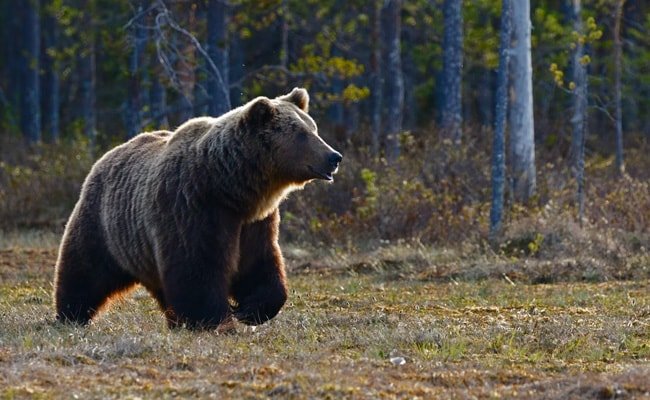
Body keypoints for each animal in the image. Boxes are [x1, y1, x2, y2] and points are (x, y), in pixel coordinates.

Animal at [53, 89, 342, 330]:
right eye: (301, 134)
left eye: (313, 128)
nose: (334, 156)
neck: (231, 187)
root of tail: (107, 155)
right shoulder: (193, 207)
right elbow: (197, 267)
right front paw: (214, 320)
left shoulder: (254, 222)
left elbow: (259, 264)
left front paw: (250, 310)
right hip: (104, 224)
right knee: (84, 269)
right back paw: (71, 314)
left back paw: (174, 321)